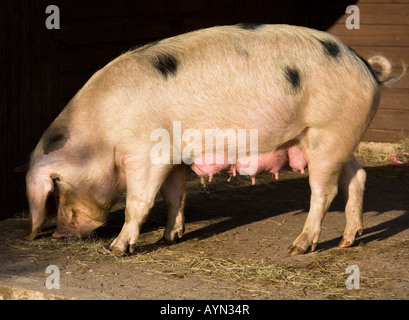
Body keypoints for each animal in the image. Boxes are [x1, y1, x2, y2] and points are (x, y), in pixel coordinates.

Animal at [25, 24, 404, 255]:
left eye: (57, 184)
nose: (57, 233)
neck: (101, 133)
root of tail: (367, 67)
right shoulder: (174, 156)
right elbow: (174, 195)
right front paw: (170, 238)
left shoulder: (148, 154)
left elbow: (139, 202)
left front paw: (118, 249)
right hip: (338, 137)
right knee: (357, 176)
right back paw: (347, 242)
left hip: (327, 132)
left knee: (323, 191)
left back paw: (298, 247)